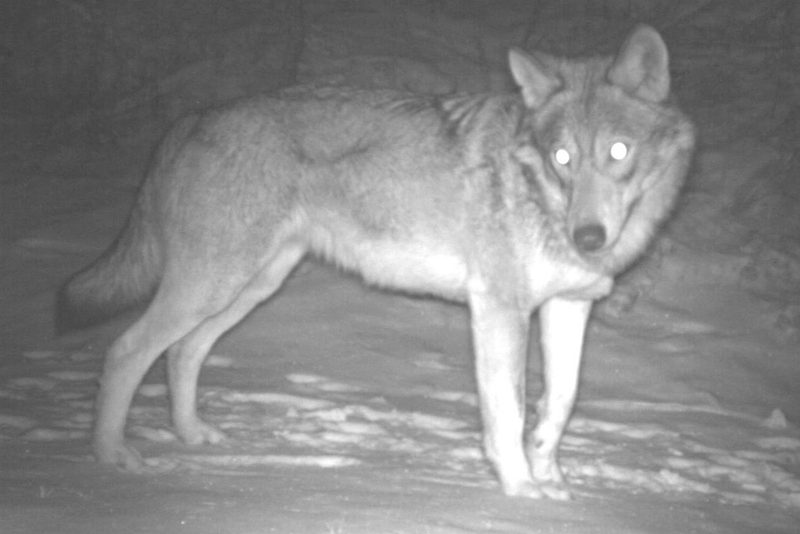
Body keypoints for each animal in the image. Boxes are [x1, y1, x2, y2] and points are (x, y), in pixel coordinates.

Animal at [57, 24, 695, 499]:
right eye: (563, 157)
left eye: (618, 151)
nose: (588, 237)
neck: (540, 193)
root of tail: (191, 118)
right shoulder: (498, 310)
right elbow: (509, 411)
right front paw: (519, 491)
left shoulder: (568, 307)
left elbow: (559, 404)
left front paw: (553, 485)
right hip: (213, 285)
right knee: (126, 351)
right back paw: (111, 456)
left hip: (251, 287)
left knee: (182, 353)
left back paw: (192, 437)